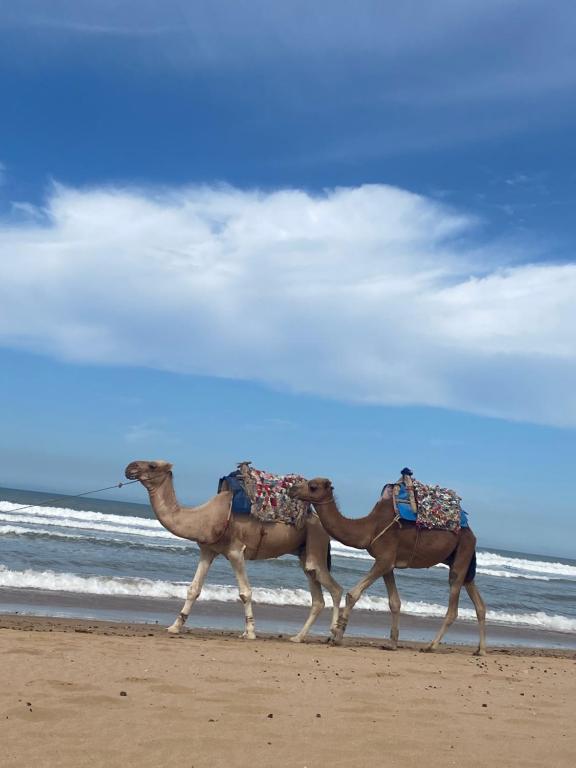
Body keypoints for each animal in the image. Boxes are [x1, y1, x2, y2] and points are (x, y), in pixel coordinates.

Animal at [124, 460, 342, 642]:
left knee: (335, 589)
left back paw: (333, 636)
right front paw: (174, 627)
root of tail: (321, 524)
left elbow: (245, 592)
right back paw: (298, 637)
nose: (129, 467)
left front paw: (250, 632)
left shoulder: (235, 551)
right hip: (305, 553)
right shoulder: (208, 551)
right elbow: (193, 589)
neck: (204, 517)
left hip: (316, 542)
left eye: (152, 465)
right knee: (317, 598)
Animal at [288, 478, 487, 655]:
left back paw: (431, 646)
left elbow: (353, 594)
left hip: (462, 553)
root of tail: (472, 534)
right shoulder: (388, 564)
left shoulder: (384, 557)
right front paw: (392, 644)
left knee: (453, 603)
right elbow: (394, 602)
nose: (292, 489)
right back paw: (481, 650)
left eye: (312, 486)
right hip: (462, 560)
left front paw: (337, 636)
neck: (369, 527)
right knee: (478, 602)